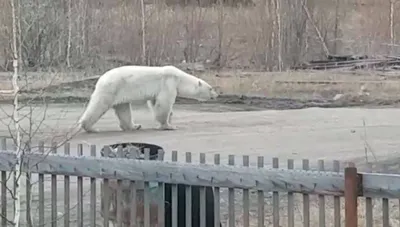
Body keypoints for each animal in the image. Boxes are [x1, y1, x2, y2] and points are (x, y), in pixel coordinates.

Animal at [77, 64, 219, 133]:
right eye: (211, 88)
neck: (180, 78)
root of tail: (101, 79)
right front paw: (168, 126)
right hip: (111, 88)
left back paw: (134, 126)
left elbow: (155, 103)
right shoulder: (168, 83)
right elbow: (164, 104)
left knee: (123, 109)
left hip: (120, 91)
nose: (216, 95)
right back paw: (91, 128)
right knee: (99, 106)